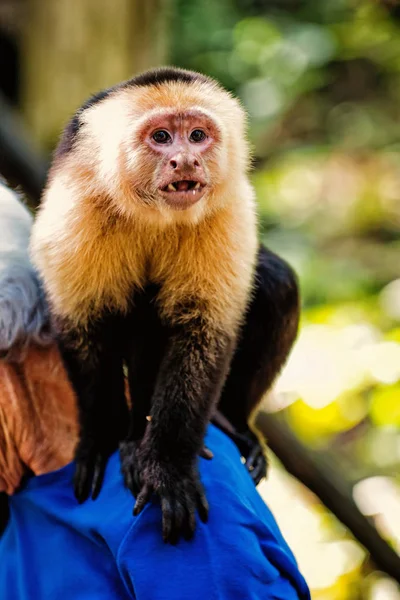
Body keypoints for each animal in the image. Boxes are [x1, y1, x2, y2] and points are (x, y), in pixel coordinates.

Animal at [30, 68, 300, 548]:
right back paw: (133, 435)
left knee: (275, 284)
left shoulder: (225, 207)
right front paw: (102, 439)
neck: (153, 214)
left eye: (196, 136)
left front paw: (168, 467)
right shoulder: (77, 199)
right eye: (161, 137)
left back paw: (228, 423)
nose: (185, 161)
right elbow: (83, 323)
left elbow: (202, 330)